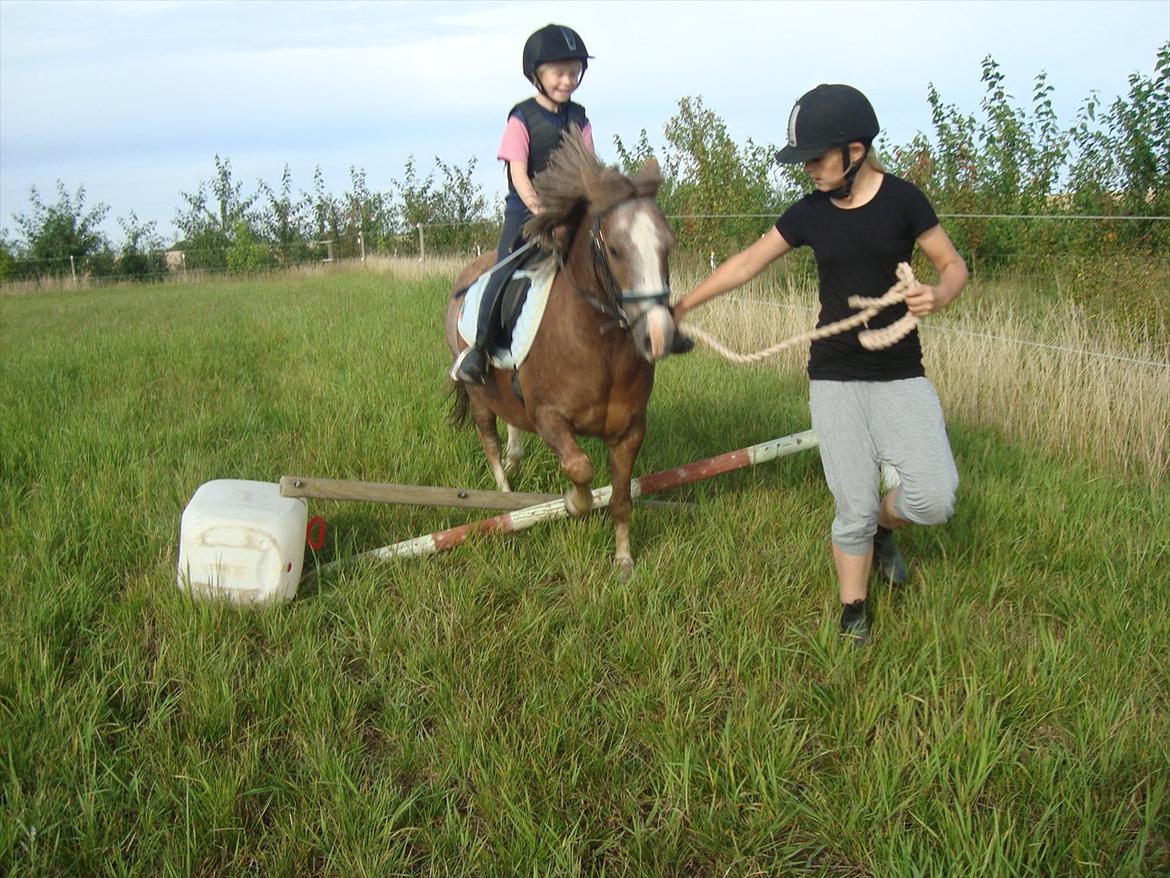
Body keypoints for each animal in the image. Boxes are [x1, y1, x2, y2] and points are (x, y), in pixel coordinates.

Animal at [442, 127, 673, 573]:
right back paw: (506, 495)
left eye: (668, 246)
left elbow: (622, 498)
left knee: (509, 424)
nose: (658, 335)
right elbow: (579, 467)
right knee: (488, 437)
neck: (599, 348)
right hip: (477, 392)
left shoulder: (630, 430)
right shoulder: (549, 417)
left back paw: (515, 460)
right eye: (615, 250)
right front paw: (573, 503)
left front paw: (623, 561)